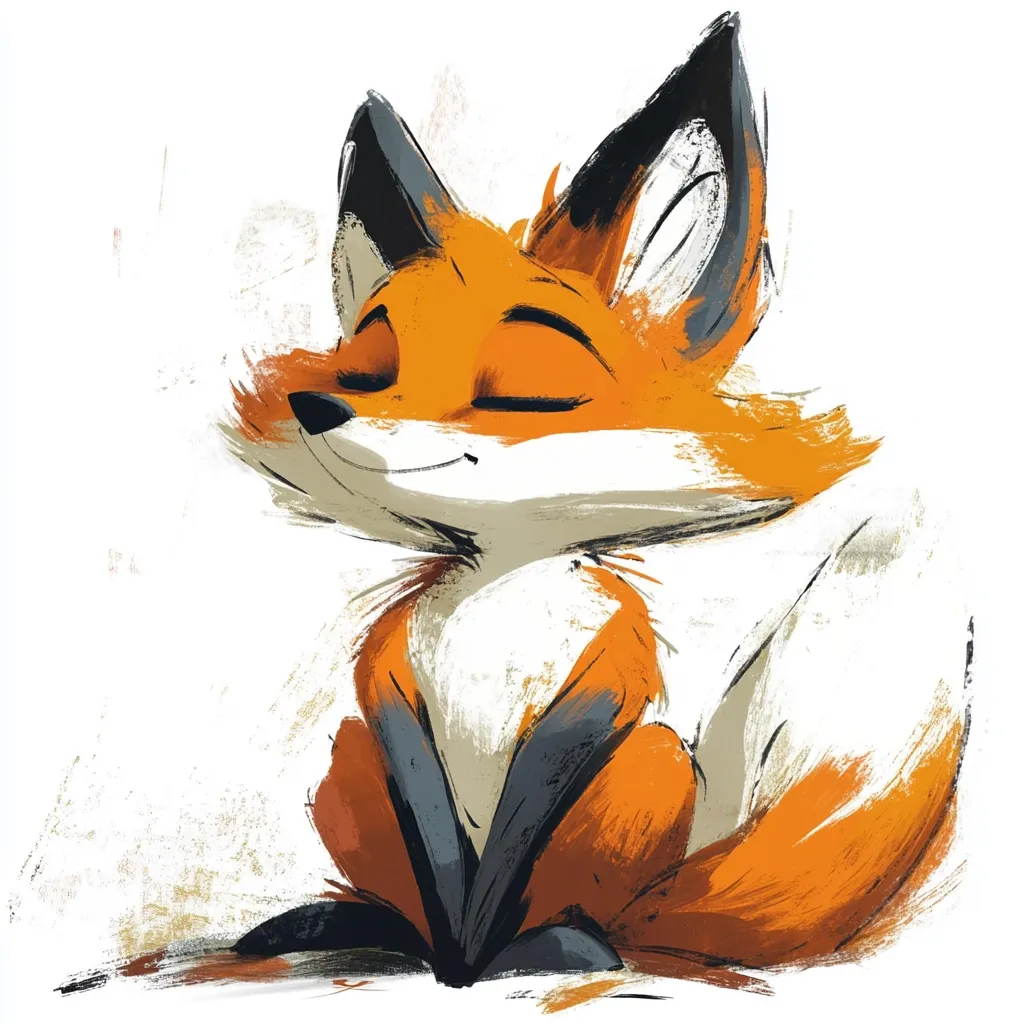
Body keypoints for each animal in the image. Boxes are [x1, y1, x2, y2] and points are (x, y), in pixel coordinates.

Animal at [206, 11, 970, 992]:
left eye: (530, 387)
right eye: (370, 368)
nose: (321, 408)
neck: (499, 602)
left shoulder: (607, 675)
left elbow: (511, 841)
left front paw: (478, 962)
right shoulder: (386, 684)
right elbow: (436, 838)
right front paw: (450, 956)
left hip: (645, 771)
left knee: (591, 910)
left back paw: (558, 944)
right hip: (346, 762)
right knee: (404, 886)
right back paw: (363, 926)